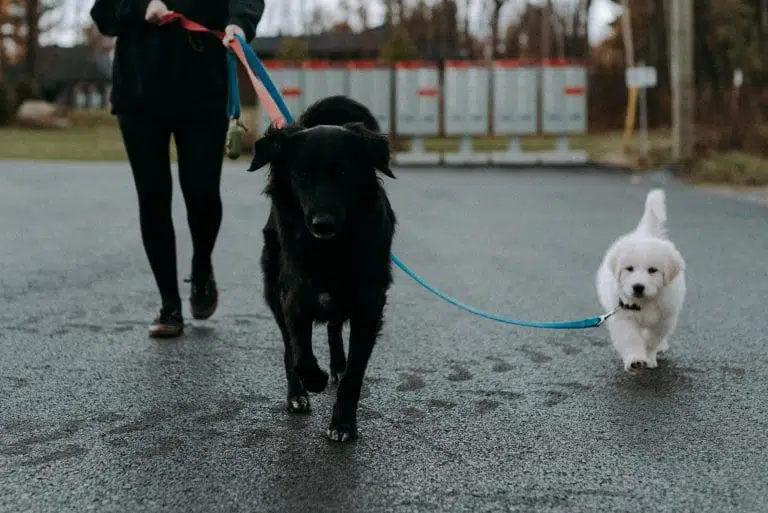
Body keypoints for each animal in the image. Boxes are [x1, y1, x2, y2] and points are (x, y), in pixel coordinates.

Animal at [249, 95, 400, 440]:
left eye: (343, 173)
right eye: (302, 176)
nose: (322, 224)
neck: (331, 249)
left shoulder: (369, 305)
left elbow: (355, 375)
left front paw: (343, 424)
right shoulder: (294, 296)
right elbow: (298, 353)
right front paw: (312, 380)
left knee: (333, 329)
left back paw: (337, 366)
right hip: (274, 288)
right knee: (289, 347)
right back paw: (297, 394)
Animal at [596, 190, 688, 370]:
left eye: (652, 270)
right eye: (629, 269)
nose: (638, 287)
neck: (646, 302)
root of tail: (645, 232)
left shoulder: (664, 319)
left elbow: (653, 339)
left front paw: (650, 357)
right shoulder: (623, 316)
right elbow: (631, 338)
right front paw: (636, 360)